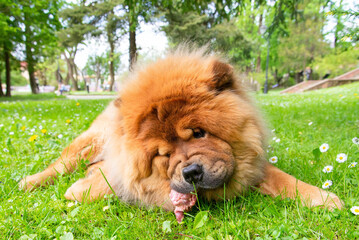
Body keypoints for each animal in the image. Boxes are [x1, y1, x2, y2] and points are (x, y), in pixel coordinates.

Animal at [19, 47, 344, 222]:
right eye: (163, 154)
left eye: (199, 133)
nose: (191, 172)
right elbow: (103, 186)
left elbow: (284, 179)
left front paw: (324, 198)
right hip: (87, 144)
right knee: (60, 165)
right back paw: (29, 182)